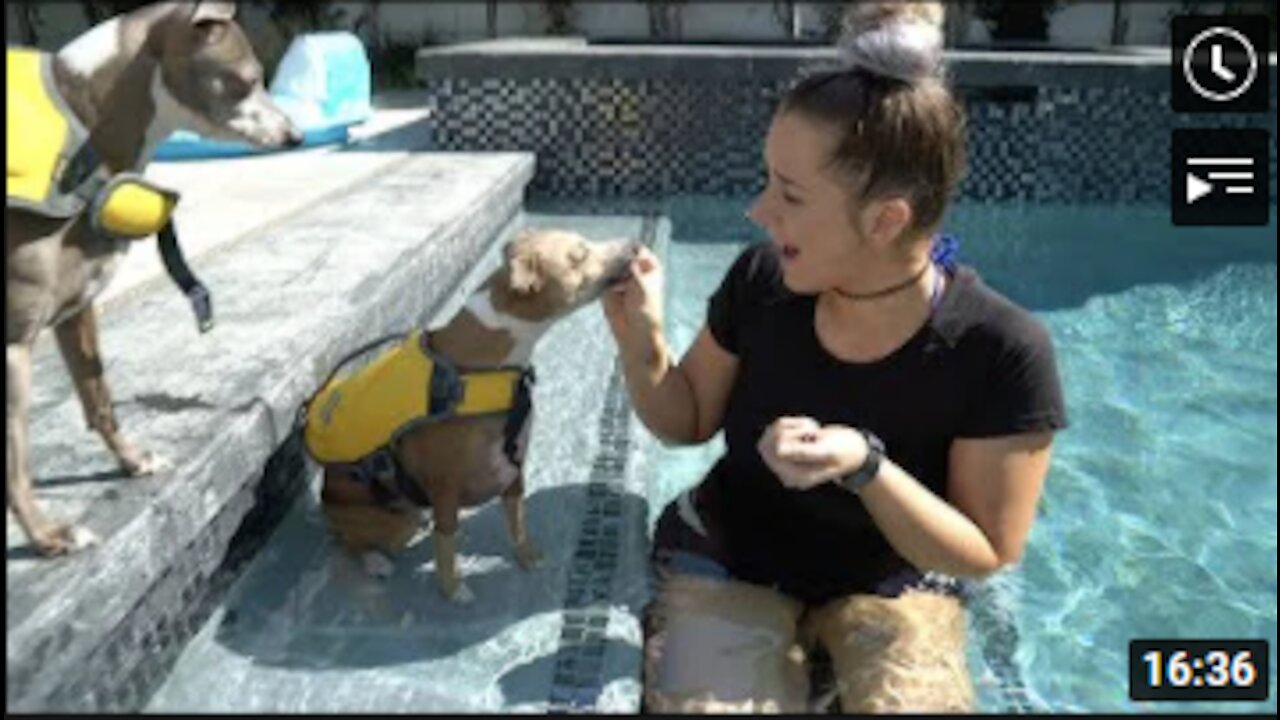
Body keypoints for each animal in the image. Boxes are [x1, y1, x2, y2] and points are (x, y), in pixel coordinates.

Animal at [6, 1, 299, 556]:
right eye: (248, 79)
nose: (295, 136)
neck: (84, 128)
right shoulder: (11, 343)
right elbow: (16, 460)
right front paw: (47, 535)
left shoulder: (76, 311)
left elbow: (100, 400)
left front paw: (132, 460)